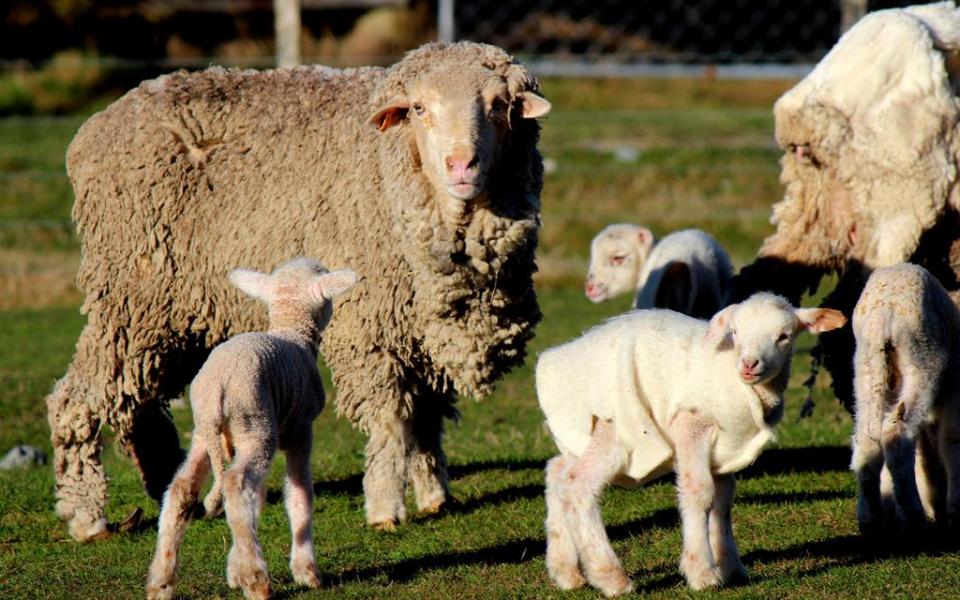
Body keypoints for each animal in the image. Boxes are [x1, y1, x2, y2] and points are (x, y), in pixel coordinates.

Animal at [148, 258, 358, 600]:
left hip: (209, 434)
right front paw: (306, 571)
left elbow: (257, 500)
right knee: (235, 483)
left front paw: (234, 571)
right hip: (255, 425)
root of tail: (217, 388)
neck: (292, 333)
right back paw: (257, 581)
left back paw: (161, 581)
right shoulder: (301, 429)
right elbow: (300, 495)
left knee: (183, 489)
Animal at [536, 292, 844, 592]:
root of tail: (552, 359)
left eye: (784, 336)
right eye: (735, 332)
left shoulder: (727, 447)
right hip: (613, 428)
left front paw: (731, 567)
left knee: (557, 474)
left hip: (579, 438)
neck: (734, 377)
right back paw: (610, 577)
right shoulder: (691, 424)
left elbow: (723, 499)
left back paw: (566, 572)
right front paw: (702, 573)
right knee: (577, 485)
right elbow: (700, 492)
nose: (749, 364)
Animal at [852, 264, 960, 536]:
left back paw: (871, 518)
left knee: (868, 438)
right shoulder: (956, 380)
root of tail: (884, 315)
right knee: (896, 433)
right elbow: (952, 437)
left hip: (868, 369)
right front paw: (955, 508)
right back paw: (913, 517)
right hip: (922, 361)